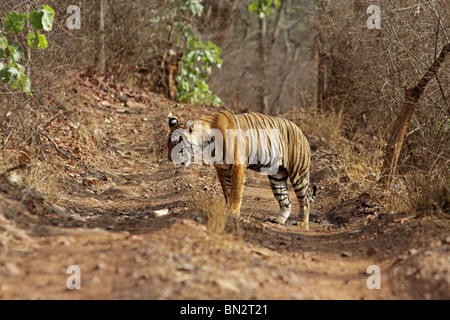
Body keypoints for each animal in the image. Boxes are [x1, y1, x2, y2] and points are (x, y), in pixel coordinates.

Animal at [168, 110, 316, 230]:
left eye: (176, 144)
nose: (169, 159)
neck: (206, 141)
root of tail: (301, 131)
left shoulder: (237, 164)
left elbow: (236, 190)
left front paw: (232, 211)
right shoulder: (222, 169)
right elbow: (227, 190)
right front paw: (227, 208)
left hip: (298, 173)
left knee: (305, 201)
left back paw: (302, 224)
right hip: (277, 176)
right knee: (286, 200)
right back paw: (278, 220)